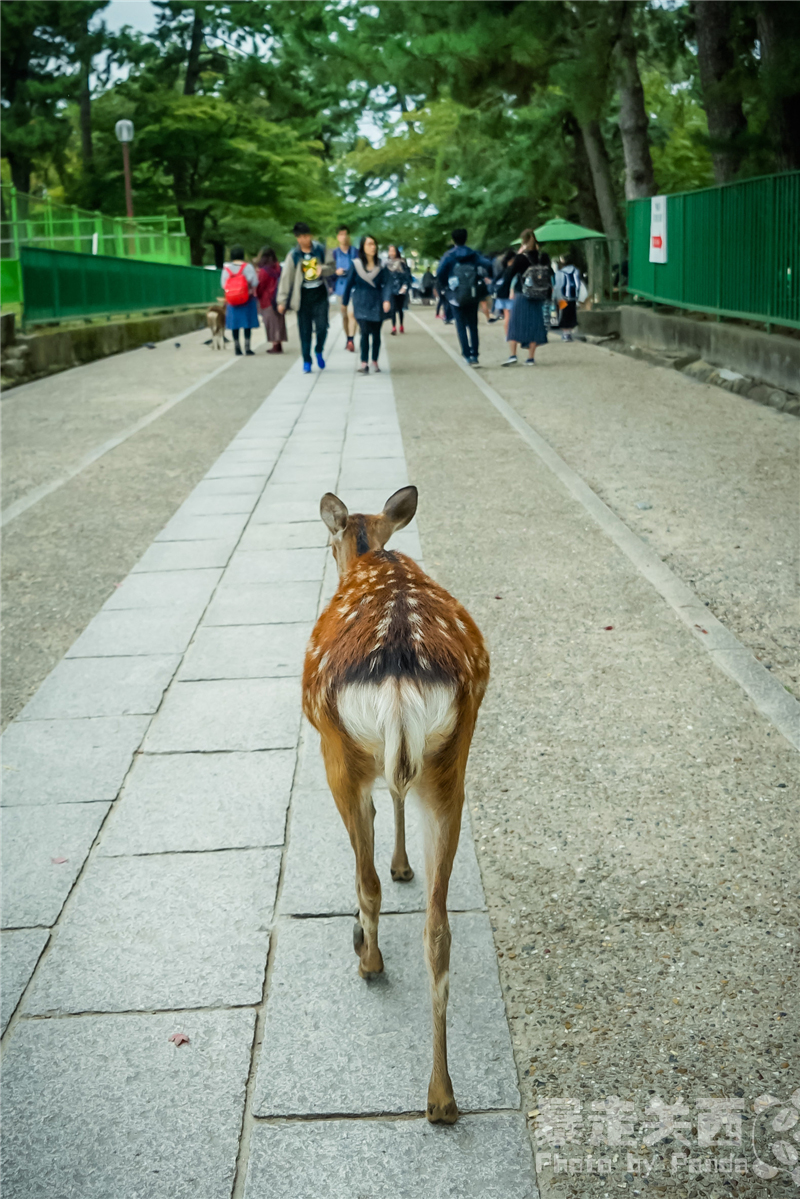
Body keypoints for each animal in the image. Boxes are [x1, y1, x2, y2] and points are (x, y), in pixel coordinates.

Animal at [299, 481, 489, 1117]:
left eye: (326, 538)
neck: (371, 553)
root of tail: (403, 679)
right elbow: (397, 799)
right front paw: (405, 864)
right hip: (451, 762)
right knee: (439, 929)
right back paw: (442, 1098)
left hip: (337, 751)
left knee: (367, 879)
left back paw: (368, 959)